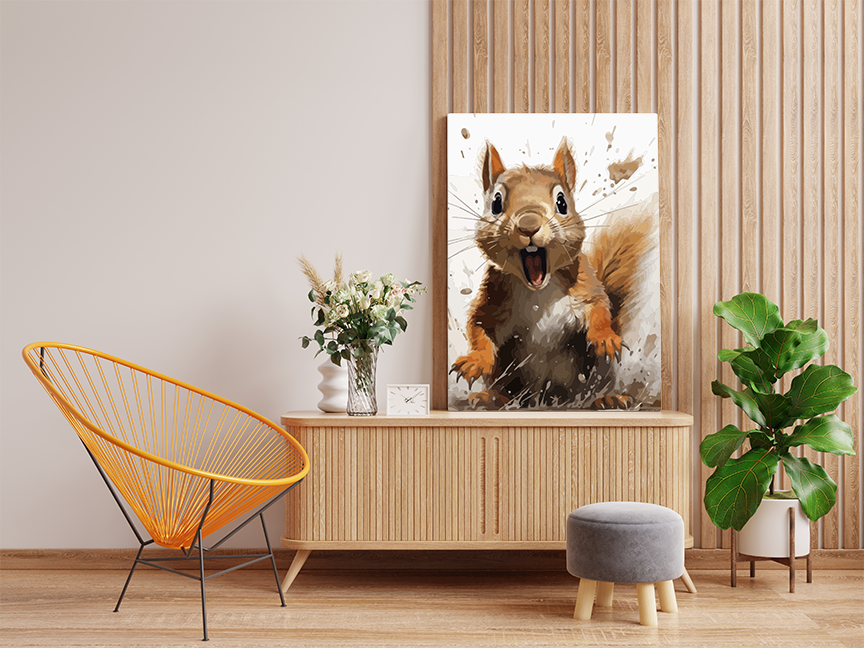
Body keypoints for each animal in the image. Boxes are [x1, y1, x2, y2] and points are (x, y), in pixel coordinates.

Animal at [449, 137, 660, 410]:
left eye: (562, 203)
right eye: (495, 203)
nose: (528, 226)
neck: (539, 292)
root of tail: (548, 399)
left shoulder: (584, 286)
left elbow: (600, 308)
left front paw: (603, 337)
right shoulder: (493, 299)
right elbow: (478, 326)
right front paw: (474, 361)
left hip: (596, 374)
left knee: (592, 391)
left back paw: (607, 399)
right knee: (510, 393)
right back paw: (491, 398)